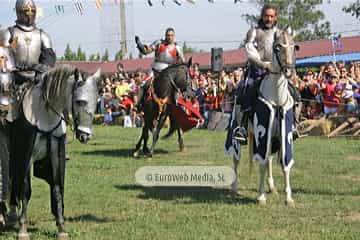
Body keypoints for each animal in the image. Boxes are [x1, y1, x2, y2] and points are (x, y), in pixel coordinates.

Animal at [8, 64, 100, 239]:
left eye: (96, 102)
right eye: (80, 101)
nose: (85, 136)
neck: (45, 114)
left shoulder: (55, 156)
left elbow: (57, 189)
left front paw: (61, 228)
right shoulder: (26, 156)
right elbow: (25, 191)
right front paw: (23, 229)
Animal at [232, 28, 300, 207]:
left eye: (294, 47)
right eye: (278, 47)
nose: (289, 70)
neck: (276, 97)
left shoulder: (283, 135)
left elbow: (285, 165)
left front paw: (288, 197)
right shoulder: (261, 134)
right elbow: (261, 163)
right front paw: (261, 196)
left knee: (269, 158)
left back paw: (272, 186)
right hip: (238, 135)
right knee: (236, 158)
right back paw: (234, 186)